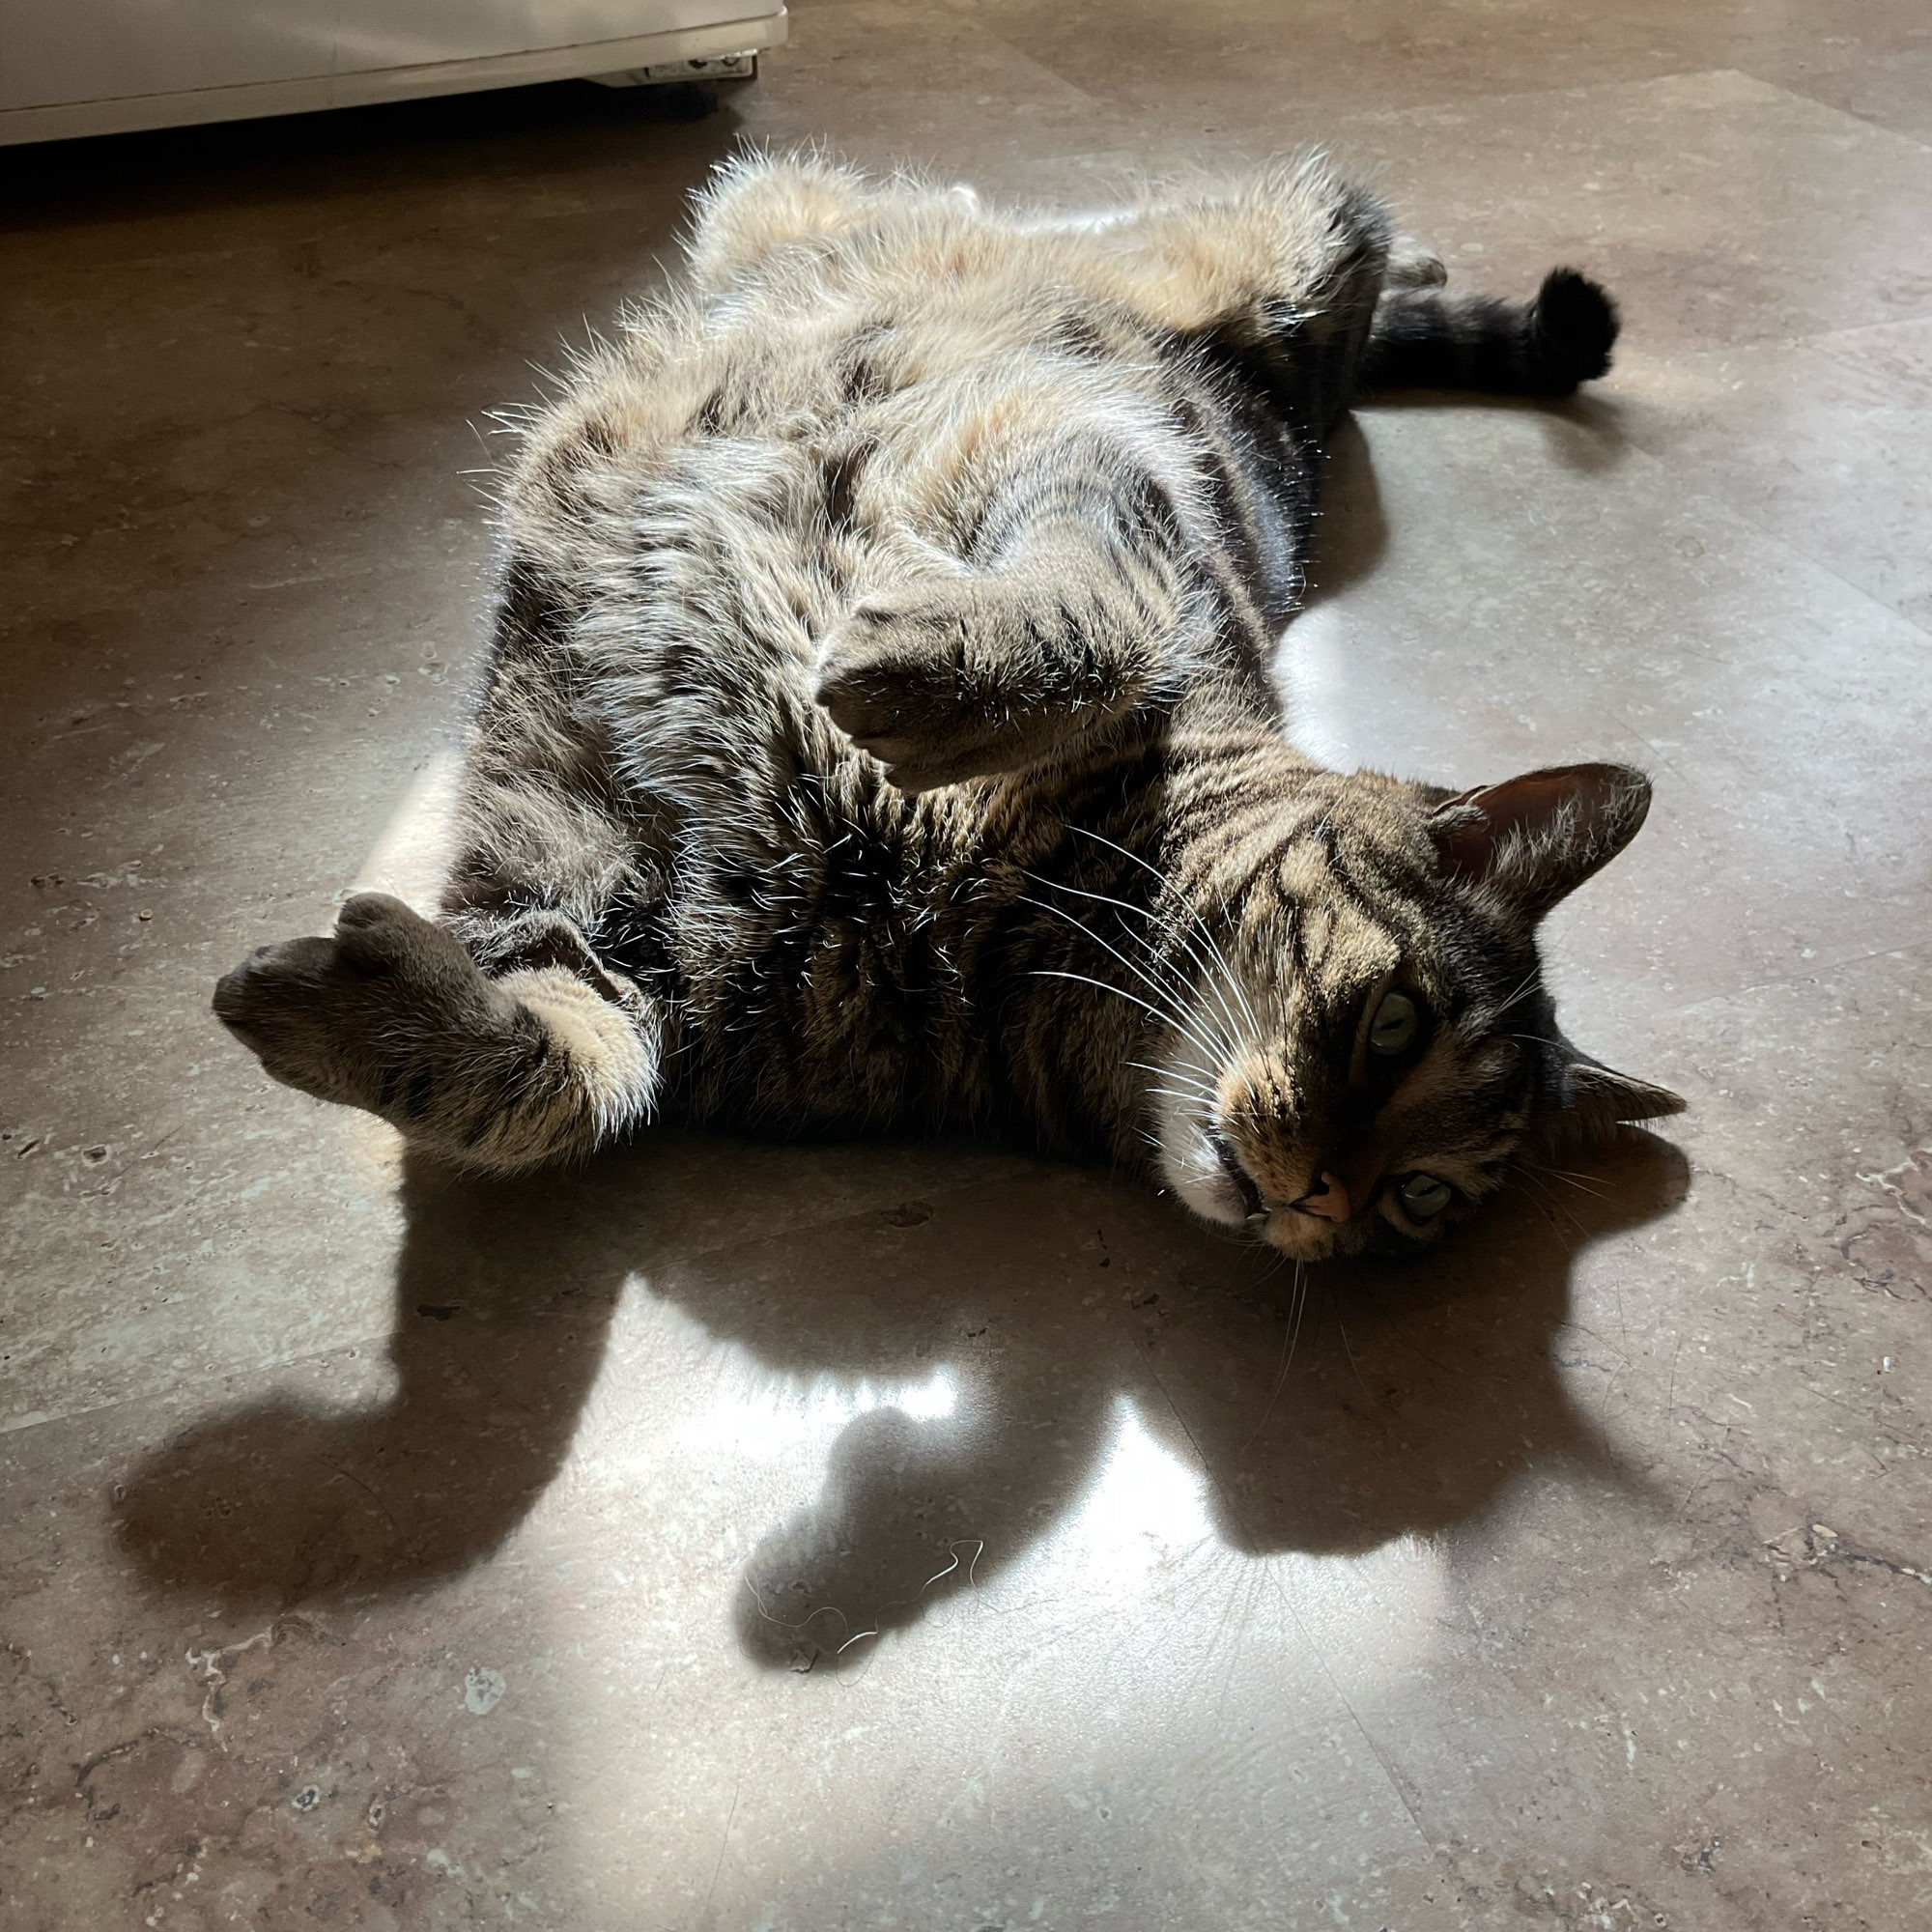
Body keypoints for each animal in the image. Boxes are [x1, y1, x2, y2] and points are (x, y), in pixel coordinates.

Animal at [212, 155, 1677, 1267]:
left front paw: (372, 1020)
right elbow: (1096, 608)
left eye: (1420, 1199)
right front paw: (928, 675)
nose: (1321, 1197)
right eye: (1392, 1024)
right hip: (1285, 262)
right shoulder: (1097, 466)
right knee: (1349, 238)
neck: (1001, 919)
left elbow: (577, 1069)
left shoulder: (652, 943)